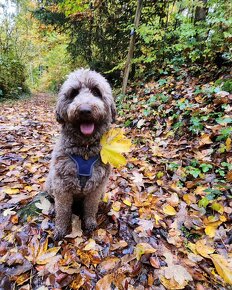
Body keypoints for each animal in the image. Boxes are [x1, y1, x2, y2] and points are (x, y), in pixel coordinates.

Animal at [45, 68, 117, 240]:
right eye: (73, 93)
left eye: (96, 91)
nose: (85, 110)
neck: (84, 149)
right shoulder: (62, 186)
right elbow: (63, 211)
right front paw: (61, 229)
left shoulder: (97, 187)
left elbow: (91, 207)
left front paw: (90, 223)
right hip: (50, 182)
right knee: (53, 200)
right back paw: (52, 208)